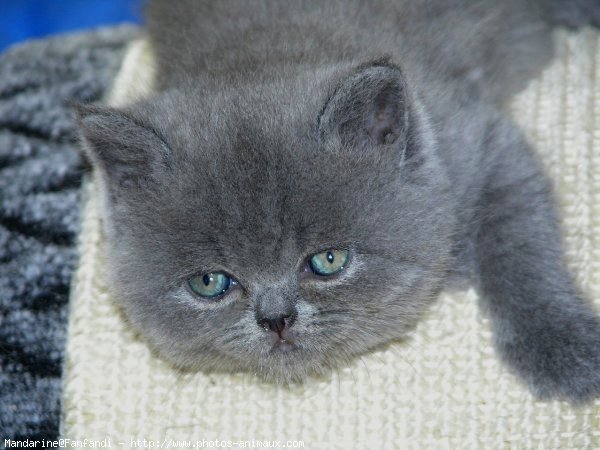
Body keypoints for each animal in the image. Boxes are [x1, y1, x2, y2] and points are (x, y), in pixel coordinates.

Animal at [75, 0, 600, 400]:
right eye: (210, 283)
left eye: (328, 260)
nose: (276, 319)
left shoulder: (482, 139)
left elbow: (518, 245)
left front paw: (562, 346)